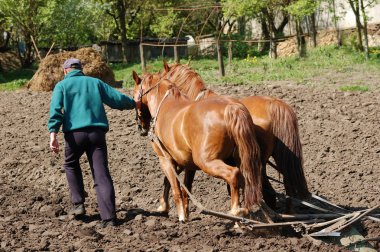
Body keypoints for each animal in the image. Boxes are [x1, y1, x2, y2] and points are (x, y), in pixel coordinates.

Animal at [132, 71, 262, 222]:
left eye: (134, 96)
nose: (141, 128)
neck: (165, 104)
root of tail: (231, 107)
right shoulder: (188, 164)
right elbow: (183, 188)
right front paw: (178, 210)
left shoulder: (165, 159)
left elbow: (175, 187)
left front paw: (181, 216)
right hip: (239, 159)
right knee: (245, 180)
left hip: (206, 161)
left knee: (233, 175)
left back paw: (236, 212)